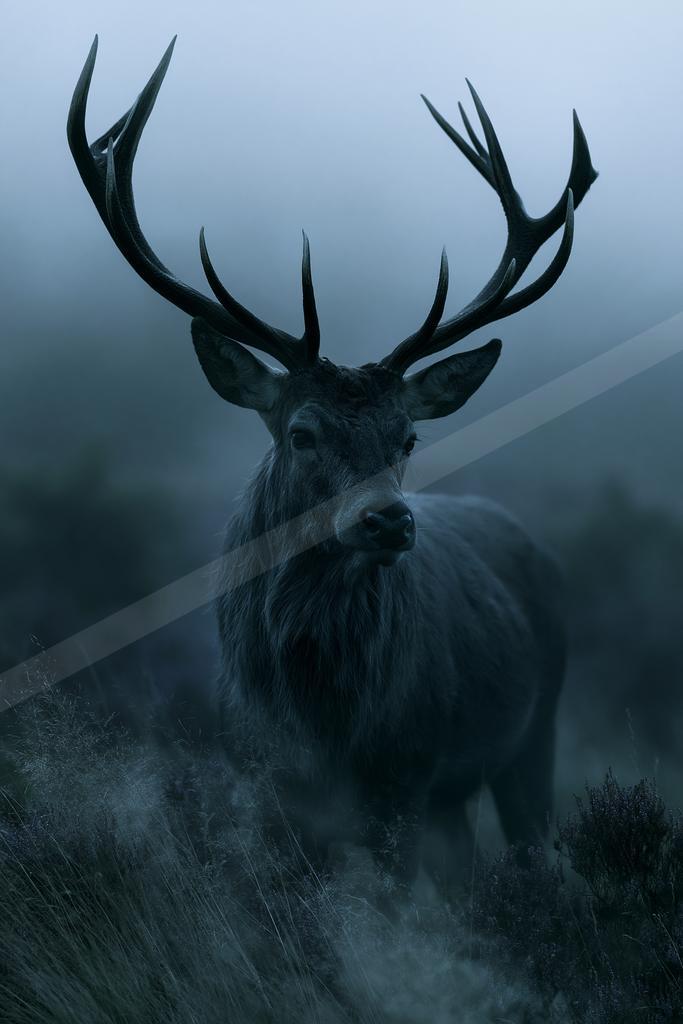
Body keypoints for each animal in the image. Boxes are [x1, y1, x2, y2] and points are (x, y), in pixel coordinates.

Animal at [68, 36, 597, 893]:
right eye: (301, 433)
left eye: (407, 438)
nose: (388, 521)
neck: (323, 724)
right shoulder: (256, 779)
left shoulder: (405, 775)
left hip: (533, 734)